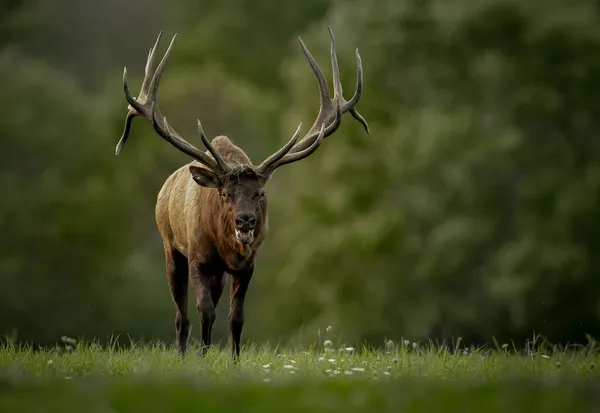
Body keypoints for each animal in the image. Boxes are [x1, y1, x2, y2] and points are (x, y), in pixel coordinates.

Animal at [112, 27, 366, 358]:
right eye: (225, 194)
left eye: (260, 193)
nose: (245, 220)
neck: (225, 245)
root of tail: (164, 189)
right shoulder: (197, 258)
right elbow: (204, 310)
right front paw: (202, 357)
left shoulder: (247, 266)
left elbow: (236, 317)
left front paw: (233, 360)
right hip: (171, 248)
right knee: (181, 314)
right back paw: (182, 353)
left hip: (217, 273)